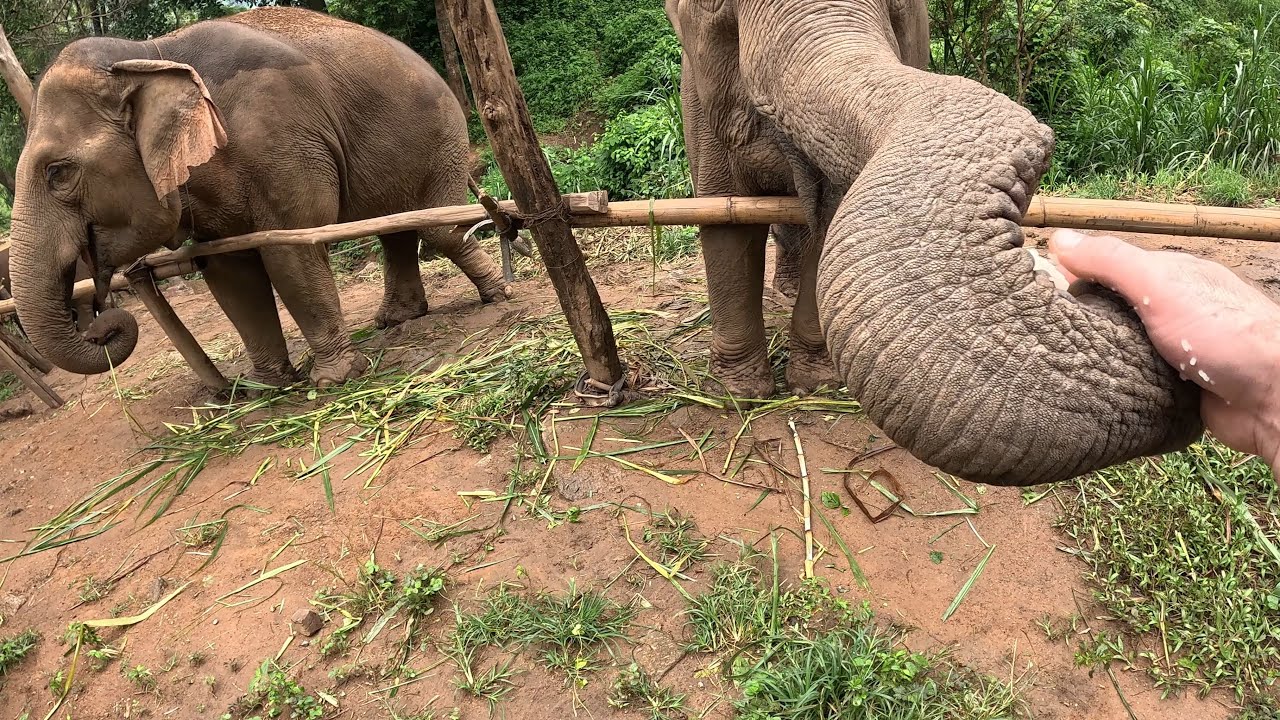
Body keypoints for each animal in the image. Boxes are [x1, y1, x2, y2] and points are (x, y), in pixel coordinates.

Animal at [8, 7, 510, 387]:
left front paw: (333, 379)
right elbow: (229, 271)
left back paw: (498, 296)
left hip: (440, 137)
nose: (101, 321)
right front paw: (267, 386)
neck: (147, 54)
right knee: (396, 227)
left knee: (437, 228)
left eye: (58, 173)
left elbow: (287, 250)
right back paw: (396, 320)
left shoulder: (279, 137)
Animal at [666, 0, 1203, 485]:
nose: (1111, 296)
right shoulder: (696, 98)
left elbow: (829, 220)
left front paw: (814, 385)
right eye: (718, 14)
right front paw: (740, 396)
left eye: (900, 10)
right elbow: (726, 222)